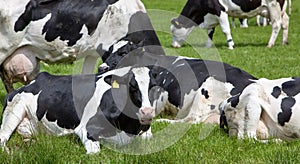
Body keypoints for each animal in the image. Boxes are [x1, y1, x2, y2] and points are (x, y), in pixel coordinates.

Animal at [0, 66, 157, 154]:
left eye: (154, 86)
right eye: (132, 86)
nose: (147, 112)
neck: (129, 127)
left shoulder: (146, 133)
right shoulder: (86, 128)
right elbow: (95, 153)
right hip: (14, 109)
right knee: (2, 138)